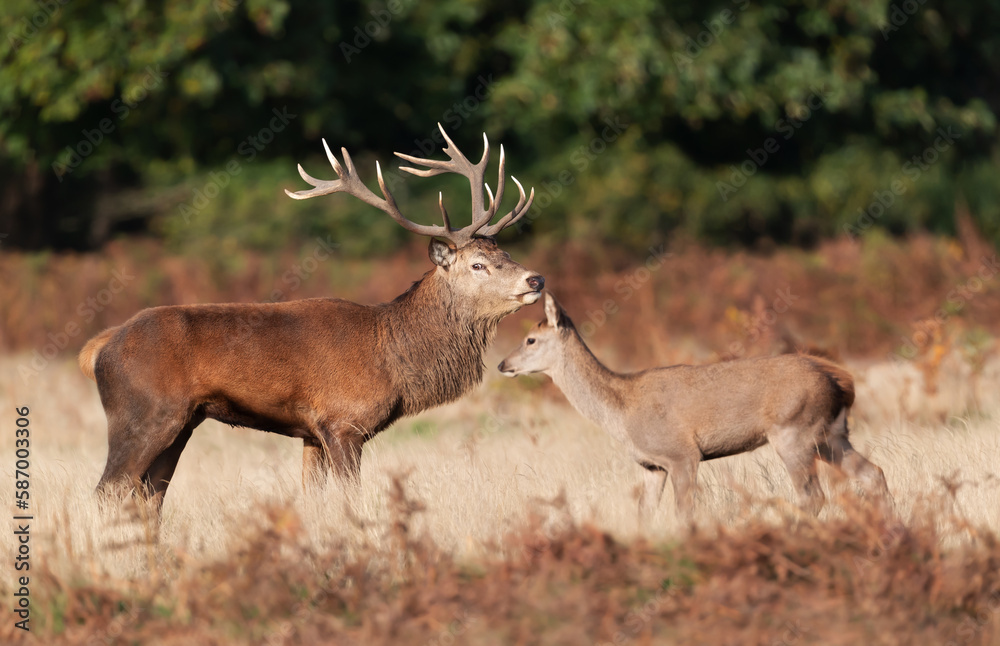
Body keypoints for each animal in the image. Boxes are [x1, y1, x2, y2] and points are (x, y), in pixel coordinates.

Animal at [79, 124, 544, 513]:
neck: (393, 354)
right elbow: (352, 500)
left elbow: (313, 500)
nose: (536, 278)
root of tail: (99, 348)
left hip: (182, 424)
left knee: (149, 497)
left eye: (506, 253)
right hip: (142, 413)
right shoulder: (342, 422)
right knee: (108, 490)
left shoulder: (311, 434)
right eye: (478, 265)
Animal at [498, 294, 891, 520]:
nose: (502, 364)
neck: (621, 412)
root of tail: (841, 381)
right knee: (874, 474)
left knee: (812, 496)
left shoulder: (681, 454)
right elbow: (643, 514)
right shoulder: (651, 464)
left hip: (793, 431)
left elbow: (684, 513)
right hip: (831, 435)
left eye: (531, 339)